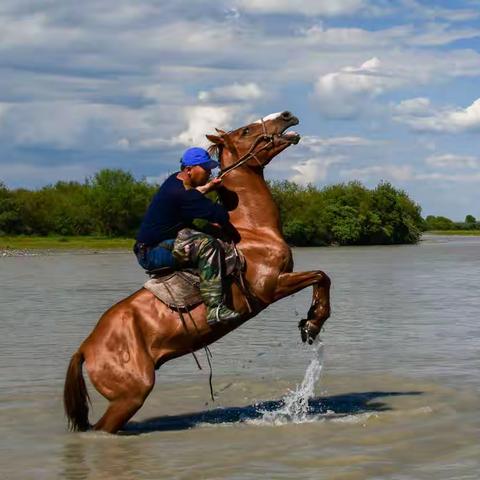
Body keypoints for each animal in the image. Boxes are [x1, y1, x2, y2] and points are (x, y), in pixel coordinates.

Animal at [63, 111, 330, 436]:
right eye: (246, 130)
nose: (287, 115)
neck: (252, 231)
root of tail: (86, 348)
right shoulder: (271, 287)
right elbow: (321, 276)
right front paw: (313, 322)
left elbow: (321, 277)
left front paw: (310, 323)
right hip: (131, 395)